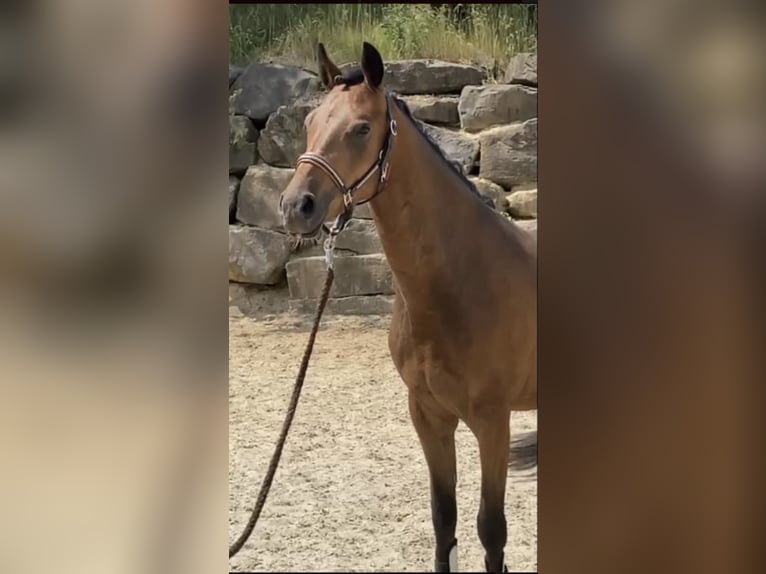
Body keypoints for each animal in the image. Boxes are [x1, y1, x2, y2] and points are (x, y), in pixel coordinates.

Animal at [280, 42, 536, 572]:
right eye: (310, 121)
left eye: (361, 128)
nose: (296, 206)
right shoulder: (428, 415)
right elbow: (444, 521)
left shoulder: (493, 422)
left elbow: (492, 532)